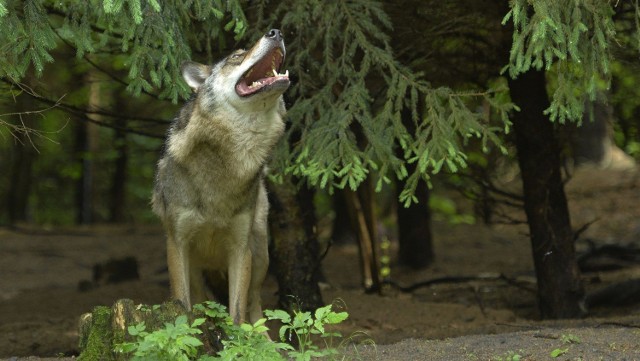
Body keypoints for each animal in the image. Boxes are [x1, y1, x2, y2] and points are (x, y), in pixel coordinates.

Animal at [150, 28, 290, 324]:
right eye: (237, 56)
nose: (276, 32)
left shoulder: (240, 249)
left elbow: (237, 311)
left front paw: (238, 336)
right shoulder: (177, 245)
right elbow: (182, 304)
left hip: (260, 255)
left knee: (254, 302)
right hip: (197, 269)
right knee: (199, 299)